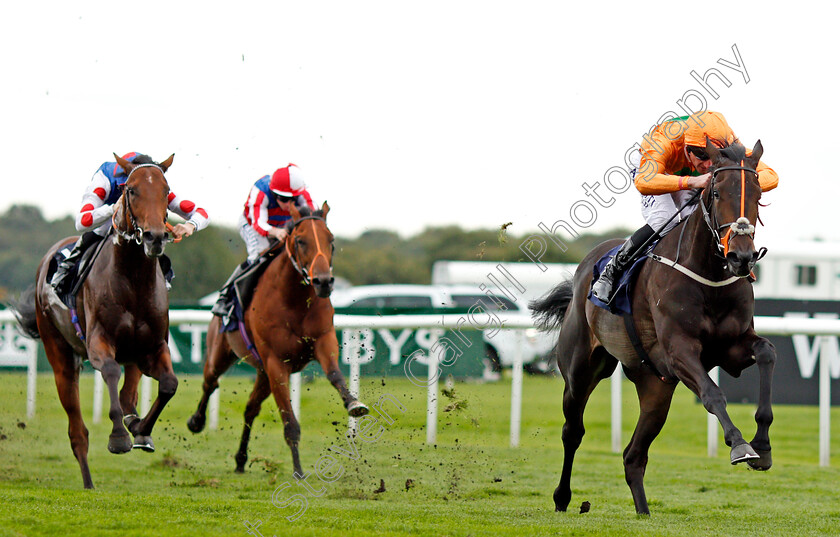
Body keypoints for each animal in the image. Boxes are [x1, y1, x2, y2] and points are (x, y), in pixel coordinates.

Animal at [10, 153, 182, 488]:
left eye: (167, 191)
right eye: (131, 190)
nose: (155, 237)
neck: (133, 279)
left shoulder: (154, 346)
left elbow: (169, 384)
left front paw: (141, 430)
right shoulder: (99, 343)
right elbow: (111, 373)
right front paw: (119, 437)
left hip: (134, 353)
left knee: (130, 391)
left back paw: (134, 420)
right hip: (60, 355)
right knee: (77, 430)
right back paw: (89, 481)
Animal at [189, 200, 370, 474]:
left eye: (331, 240)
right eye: (300, 241)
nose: (323, 282)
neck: (295, 301)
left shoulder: (323, 340)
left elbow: (335, 374)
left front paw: (353, 404)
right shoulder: (276, 363)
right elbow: (289, 422)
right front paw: (298, 472)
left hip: (263, 373)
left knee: (250, 408)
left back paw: (240, 460)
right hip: (223, 352)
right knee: (210, 382)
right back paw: (197, 421)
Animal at [532, 139, 776, 516]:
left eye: (758, 193)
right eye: (716, 191)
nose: (741, 257)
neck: (707, 275)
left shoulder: (733, 347)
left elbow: (766, 352)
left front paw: (762, 446)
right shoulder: (679, 350)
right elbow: (712, 394)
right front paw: (739, 445)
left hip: (655, 387)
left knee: (633, 455)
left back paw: (644, 512)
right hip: (580, 370)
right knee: (572, 432)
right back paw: (562, 499)